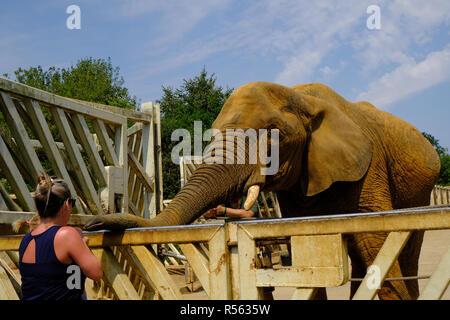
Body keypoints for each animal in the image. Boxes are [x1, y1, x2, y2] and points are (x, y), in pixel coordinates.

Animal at [85, 82, 440, 300]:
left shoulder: (369, 164)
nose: (91, 225)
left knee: (405, 245)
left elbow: (376, 238)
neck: (302, 98)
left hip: (420, 187)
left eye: (274, 134)